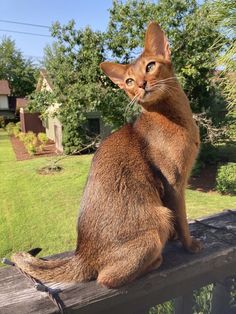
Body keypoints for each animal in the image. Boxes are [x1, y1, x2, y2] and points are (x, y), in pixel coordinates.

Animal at [12, 20, 202, 288]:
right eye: (129, 81)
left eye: (150, 66)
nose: (141, 85)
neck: (176, 118)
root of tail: (81, 255)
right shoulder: (174, 183)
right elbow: (182, 218)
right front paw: (190, 245)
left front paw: (178, 239)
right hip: (157, 221)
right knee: (105, 278)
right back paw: (155, 261)